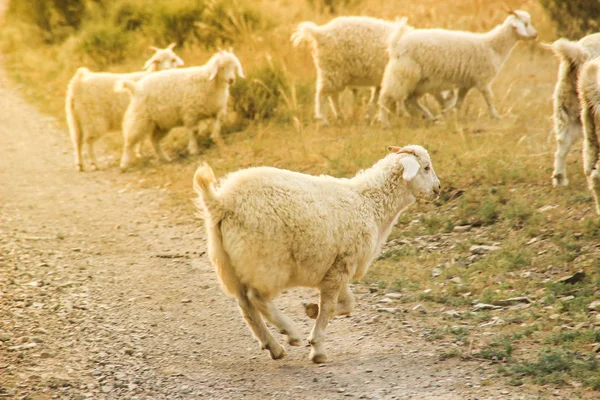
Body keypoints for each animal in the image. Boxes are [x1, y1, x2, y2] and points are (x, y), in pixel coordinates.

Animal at [64, 43, 184, 172]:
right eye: (157, 60)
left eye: (173, 59)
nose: (167, 70)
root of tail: (78, 81)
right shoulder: (142, 116)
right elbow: (140, 137)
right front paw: (138, 154)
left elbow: (141, 138)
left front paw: (138, 154)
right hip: (93, 119)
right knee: (89, 141)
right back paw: (94, 163)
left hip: (75, 119)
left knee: (77, 142)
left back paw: (80, 165)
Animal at [192, 145, 440, 362]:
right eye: (426, 167)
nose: (438, 189)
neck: (369, 203)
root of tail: (221, 202)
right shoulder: (342, 264)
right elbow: (329, 307)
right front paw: (317, 347)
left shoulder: (338, 266)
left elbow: (347, 304)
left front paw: (312, 310)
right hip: (265, 258)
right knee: (256, 298)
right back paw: (289, 332)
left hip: (230, 262)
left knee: (246, 306)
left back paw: (274, 347)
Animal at [378, 10, 536, 126]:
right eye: (526, 23)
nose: (535, 35)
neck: (493, 46)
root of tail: (396, 43)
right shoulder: (482, 80)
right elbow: (489, 98)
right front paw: (495, 116)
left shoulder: (466, 83)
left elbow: (459, 103)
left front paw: (446, 113)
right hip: (402, 74)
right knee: (386, 97)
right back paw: (385, 122)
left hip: (419, 82)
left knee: (410, 100)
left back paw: (429, 117)